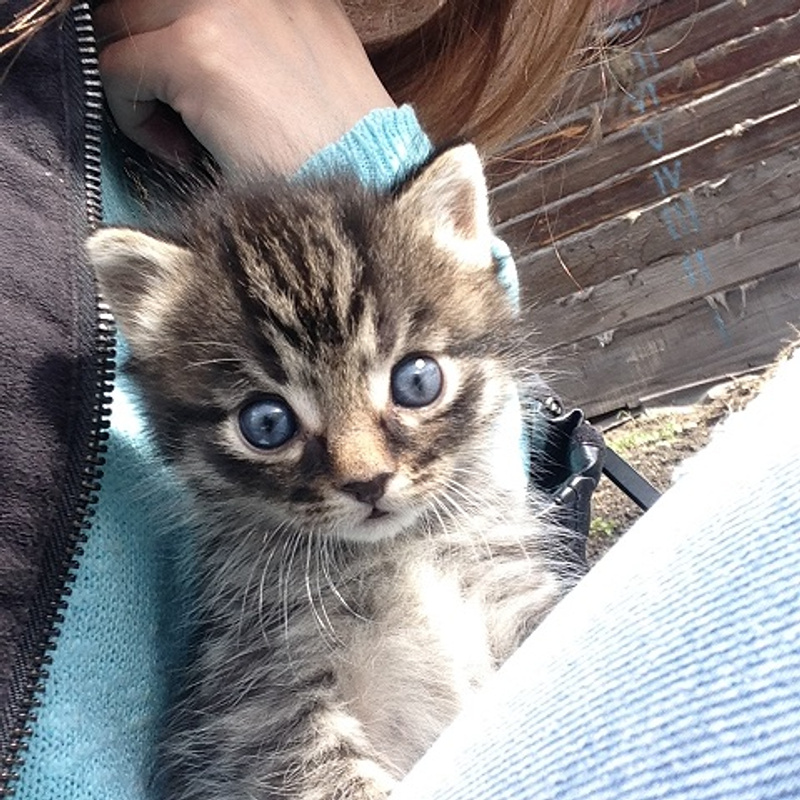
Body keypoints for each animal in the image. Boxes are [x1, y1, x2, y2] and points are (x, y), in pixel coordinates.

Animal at [87, 144, 574, 800]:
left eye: (417, 380)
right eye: (267, 423)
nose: (367, 482)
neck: (398, 554)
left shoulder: (515, 594)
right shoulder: (264, 705)